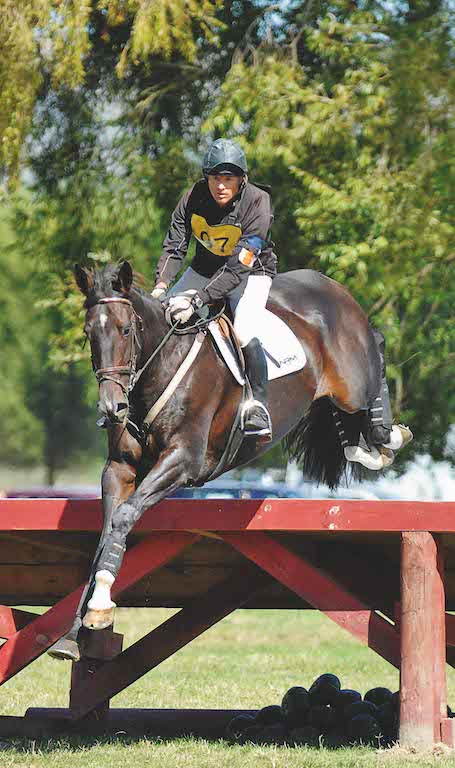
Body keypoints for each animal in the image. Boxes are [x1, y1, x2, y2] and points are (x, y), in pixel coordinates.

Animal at [49, 262, 384, 660]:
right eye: (89, 333)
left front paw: (99, 606)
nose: (111, 408)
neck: (160, 367)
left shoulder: (183, 460)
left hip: (353, 386)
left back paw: (387, 435)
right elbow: (106, 532)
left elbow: (125, 516)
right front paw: (73, 633)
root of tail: (329, 284)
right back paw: (361, 446)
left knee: (376, 356)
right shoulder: (120, 469)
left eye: (126, 329)